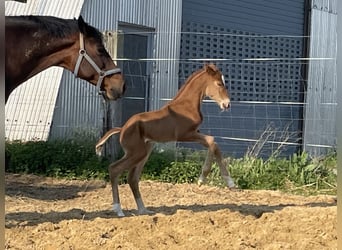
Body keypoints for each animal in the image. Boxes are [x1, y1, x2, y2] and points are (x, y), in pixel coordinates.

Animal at [95, 64, 236, 217]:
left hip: (144, 152)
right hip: (136, 153)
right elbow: (212, 141)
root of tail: (122, 129)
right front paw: (209, 179)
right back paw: (118, 209)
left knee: (132, 178)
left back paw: (143, 210)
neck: (186, 105)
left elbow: (213, 143)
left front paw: (210, 180)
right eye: (219, 84)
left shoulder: (195, 133)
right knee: (114, 169)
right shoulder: (185, 134)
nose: (227, 104)